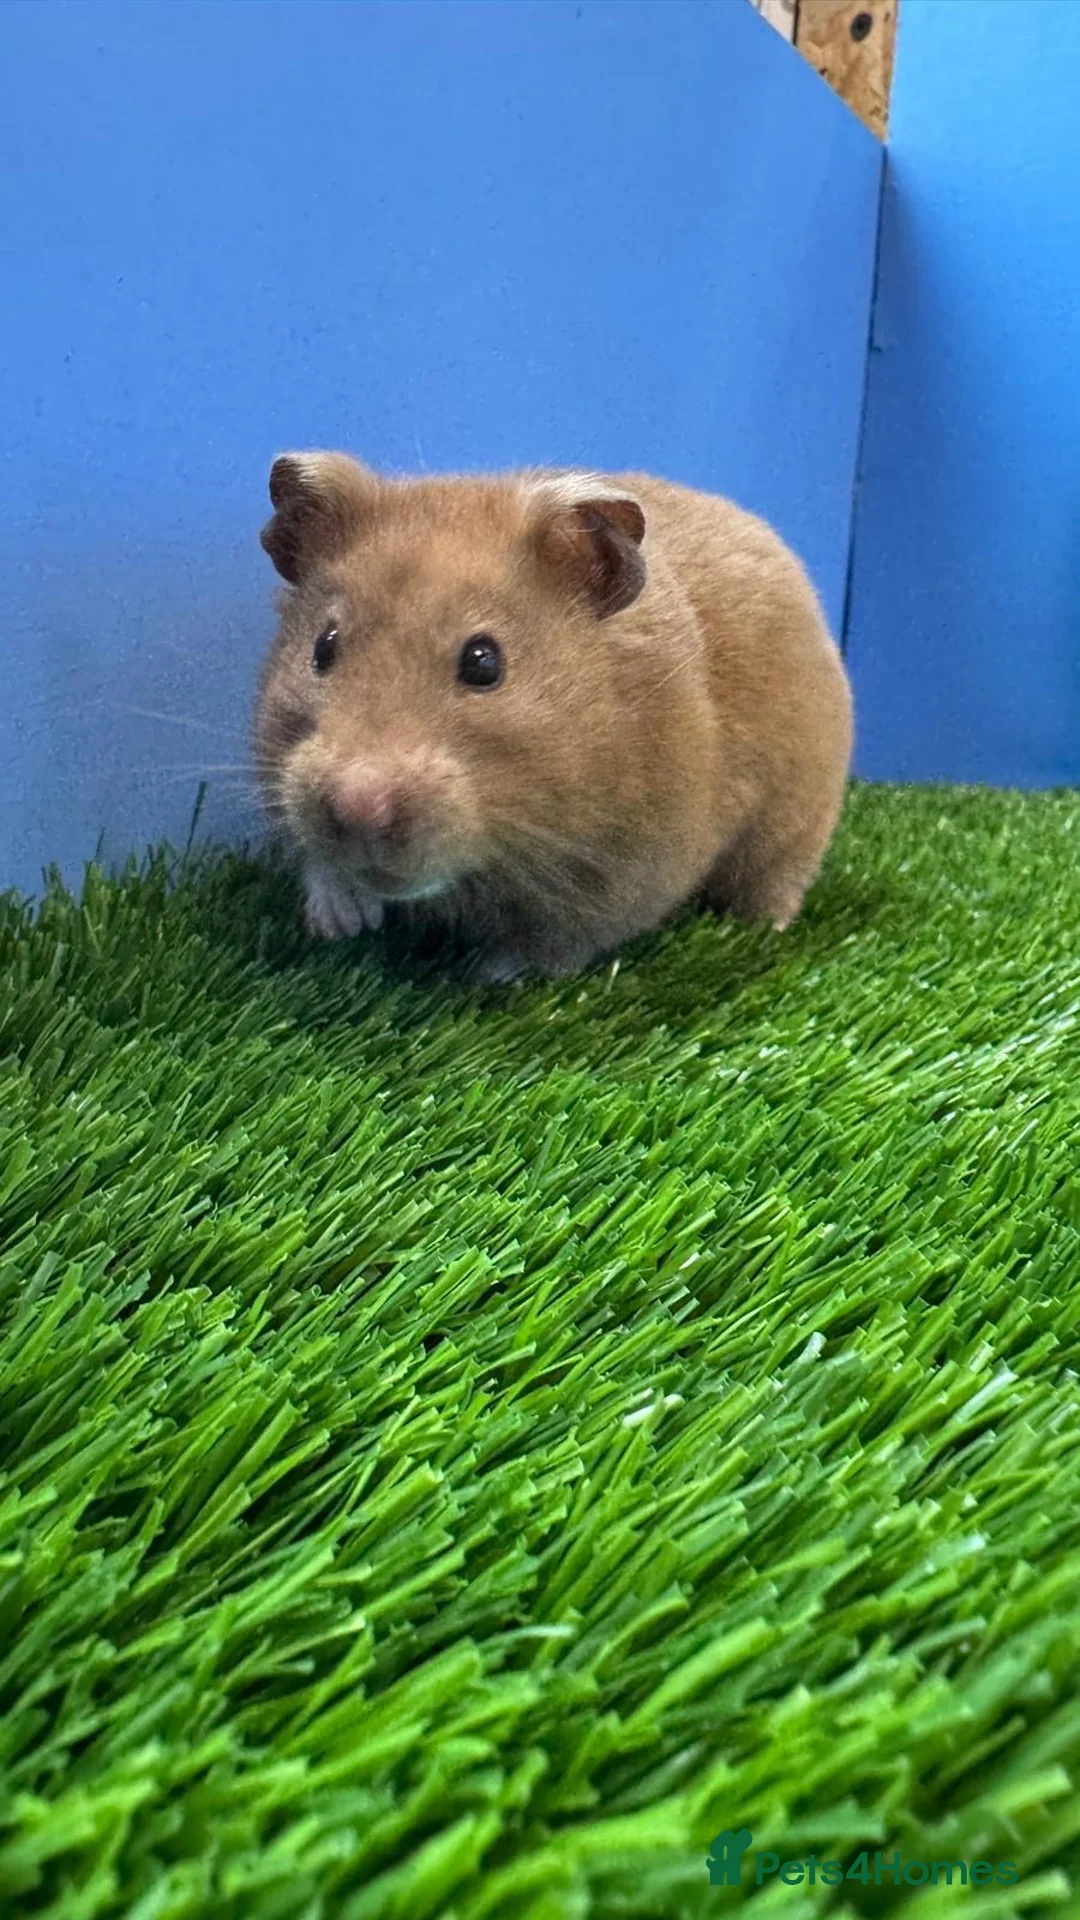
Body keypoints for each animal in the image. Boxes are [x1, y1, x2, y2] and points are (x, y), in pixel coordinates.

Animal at [254, 453, 853, 981]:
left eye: (484, 662)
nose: (357, 806)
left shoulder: (624, 876)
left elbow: (551, 944)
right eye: (324, 647)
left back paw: (763, 928)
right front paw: (338, 923)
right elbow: (320, 864)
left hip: (795, 821)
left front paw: (484, 975)